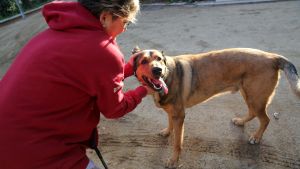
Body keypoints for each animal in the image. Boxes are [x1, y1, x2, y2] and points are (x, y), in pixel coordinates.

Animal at [132, 46, 300, 168]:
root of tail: (273, 57)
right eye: (144, 61)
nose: (158, 70)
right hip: (249, 94)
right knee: (253, 113)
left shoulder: (179, 115)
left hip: (255, 98)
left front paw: (174, 161)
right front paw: (167, 131)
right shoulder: (172, 112)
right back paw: (241, 121)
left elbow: (177, 143)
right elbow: (169, 123)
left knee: (265, 119)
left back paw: (256, 137)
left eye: (159, 59)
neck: (168, 75)